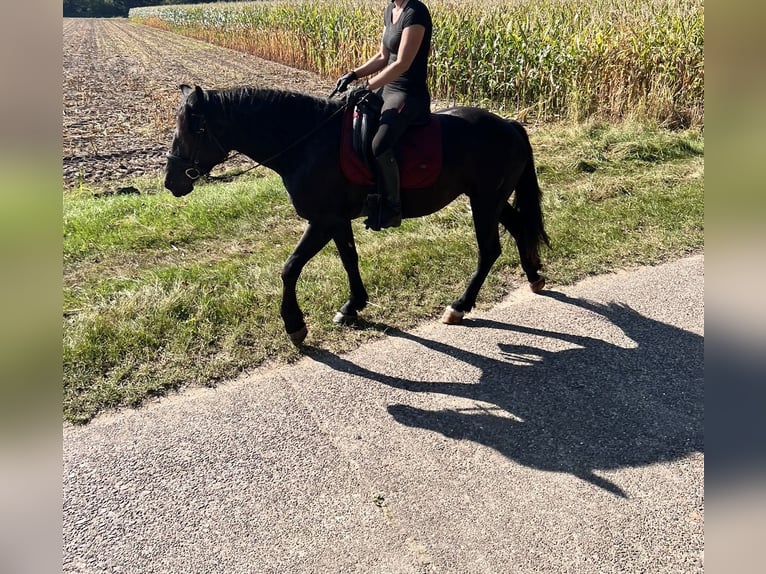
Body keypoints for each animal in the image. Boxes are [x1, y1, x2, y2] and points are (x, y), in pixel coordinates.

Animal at [165, 85, 552, 346]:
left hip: (485, 201)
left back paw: (459, 305)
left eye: (191, 130)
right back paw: (534, 276)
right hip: (491, 200)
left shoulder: (322, 220)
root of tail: (509, 124)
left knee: (489, 250)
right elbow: (349, 259)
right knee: (519, 228)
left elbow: (290, 268)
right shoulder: (336, 220)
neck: (306, 144)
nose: (170, 182)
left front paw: (295, 325)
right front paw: (353, 306)